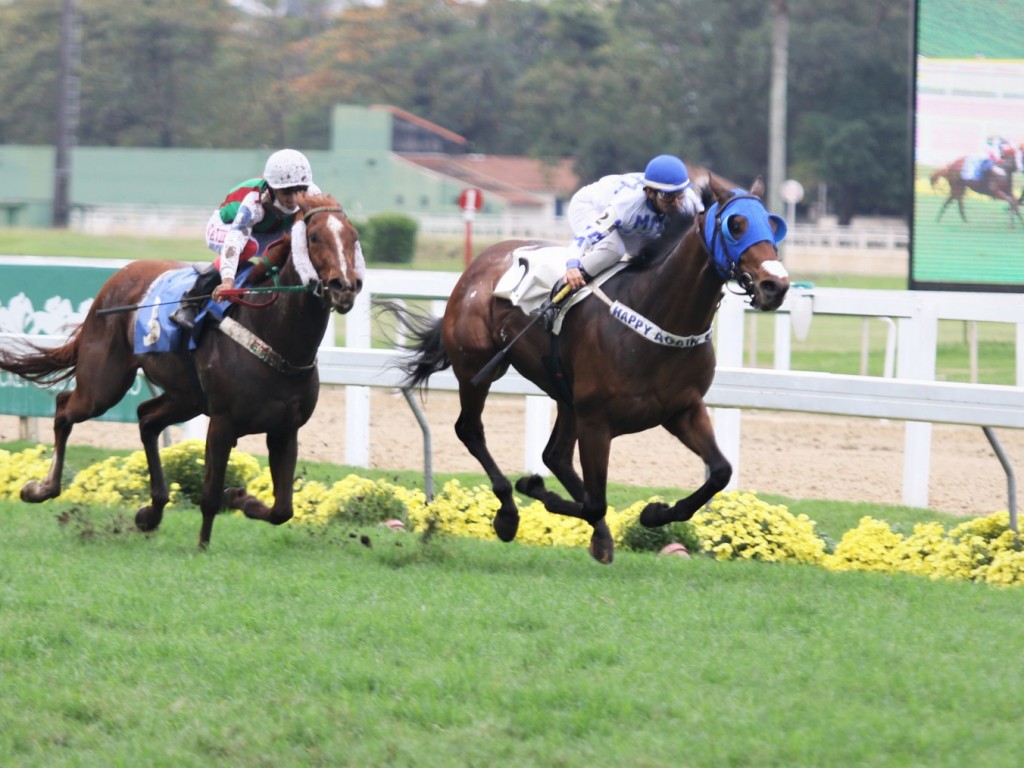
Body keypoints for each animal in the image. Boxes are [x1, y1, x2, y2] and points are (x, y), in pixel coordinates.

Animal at [0, 195, 364, 548]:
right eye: (314, 237)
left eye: (353, 237)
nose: (344, 286)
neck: (275, 335)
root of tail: (118, 278)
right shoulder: (223, 423)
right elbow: (210, 495)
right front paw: (203, 545)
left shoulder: (285, 428)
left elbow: (282, 509)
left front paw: (240, 498)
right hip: (104, 385)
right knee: (65, 408)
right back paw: (41, 489)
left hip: (186, 398)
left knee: (146, 418)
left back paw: (151, 511)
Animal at [387, 179, 786, 565]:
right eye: (736, 225)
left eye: (772, 224)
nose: (776, 286)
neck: (657, 314)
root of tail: (478, 264)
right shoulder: (597, 420)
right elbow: (595, 501)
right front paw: (536, 490)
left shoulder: (682, 410)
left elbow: (719, 472)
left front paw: (654, 513)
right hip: (479, 368)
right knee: (471, 430)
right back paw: (509, 513)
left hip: (566, 394)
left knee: (555, 456)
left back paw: (598, 534)